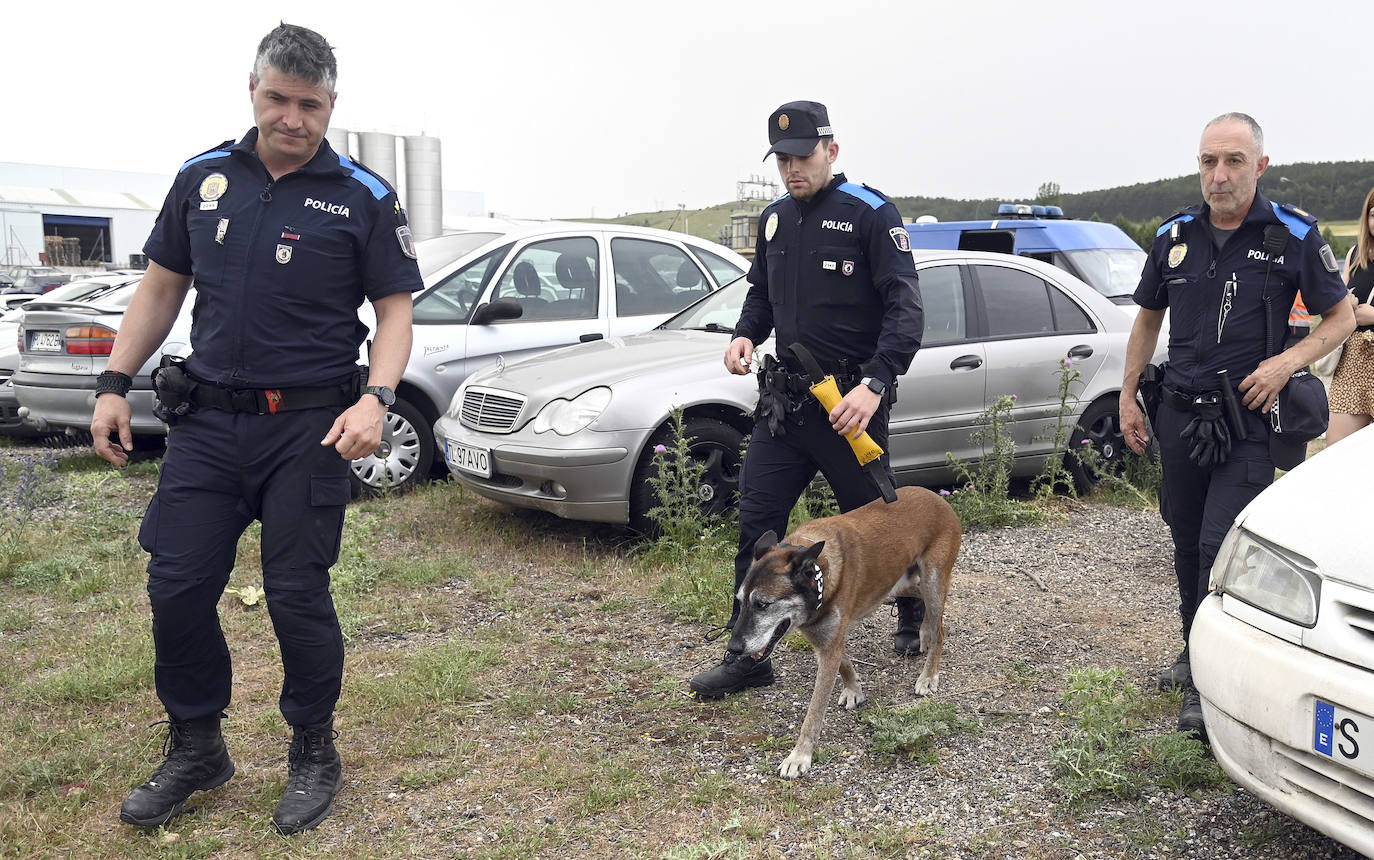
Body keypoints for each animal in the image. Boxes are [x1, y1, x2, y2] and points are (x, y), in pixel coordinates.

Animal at [730, 486, 956, 774]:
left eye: (762, 604)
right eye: (740, 602)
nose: (733, 649)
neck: (820, 575)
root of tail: (936, 496)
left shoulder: (829, 644)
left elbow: (814, 712)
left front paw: (800, 756)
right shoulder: (825, 639)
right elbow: (845, 665)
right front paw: (853, 690)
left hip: (932, 581)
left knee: (941, 628)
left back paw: (928, 675)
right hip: (901, 584)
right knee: (932, 616)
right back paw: (924, 632)